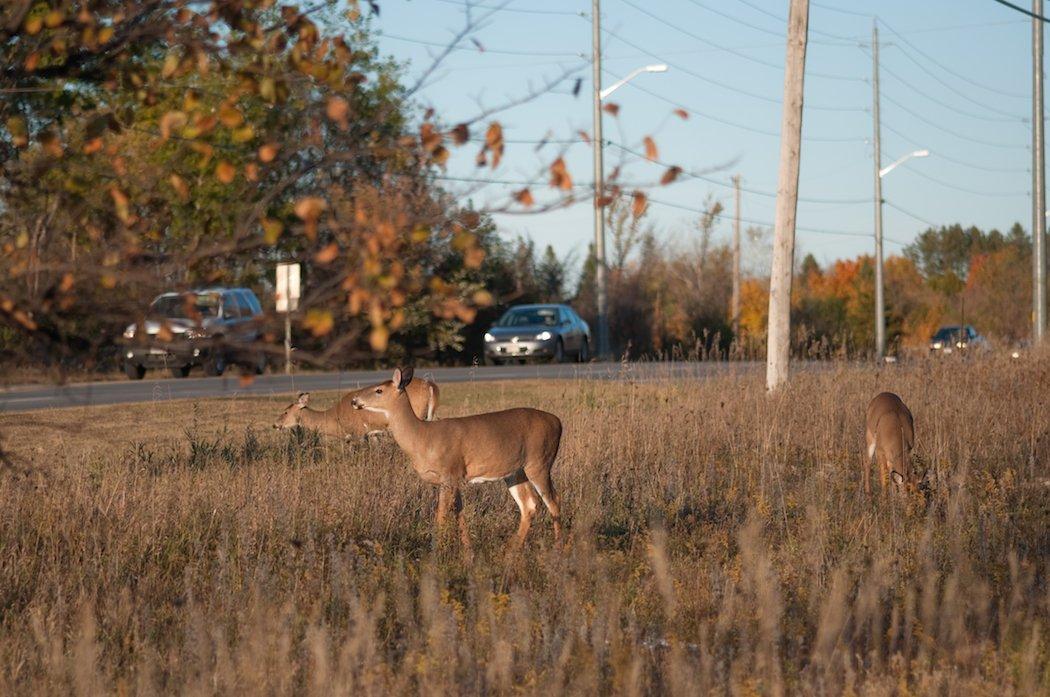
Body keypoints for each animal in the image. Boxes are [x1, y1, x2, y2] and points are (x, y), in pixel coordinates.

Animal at [275, 375, 438, 440]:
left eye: (285, 411)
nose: (275, 425)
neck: (335, 417)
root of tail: (431, 386)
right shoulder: (371, 433)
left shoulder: (358, 432)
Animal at [350, 365, 567, 550]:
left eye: (379, 390)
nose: (354, 400)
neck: (422, 437)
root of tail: (558, 422)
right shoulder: (454, 478)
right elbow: (459, 513)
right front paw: (468, 552)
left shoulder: (449, 472)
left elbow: (441, 515)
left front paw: (435, 552)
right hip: (515, 472)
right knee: (529, 505)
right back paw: (511, 550)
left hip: (539, 462)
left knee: (553, 500)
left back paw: (558, 548)